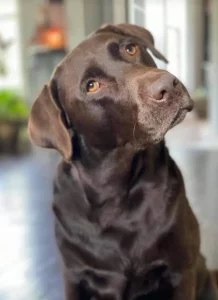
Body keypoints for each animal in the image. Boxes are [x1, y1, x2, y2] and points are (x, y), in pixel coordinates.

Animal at [28, 24, 217, 300]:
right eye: (92, 86)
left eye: (131, 48)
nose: (167, 86)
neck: (118, 194)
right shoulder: (74, 276)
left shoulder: (182, 270)